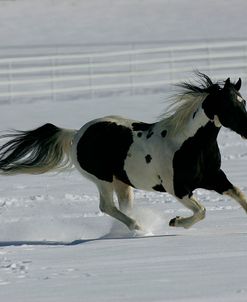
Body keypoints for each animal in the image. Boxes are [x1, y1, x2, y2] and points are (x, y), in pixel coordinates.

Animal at [0, 73, 247, 231]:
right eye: (229, 105)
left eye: (242, 101)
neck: (187, 143)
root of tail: (76, 134)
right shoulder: (177, 189)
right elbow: (202, 211)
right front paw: (175, 222)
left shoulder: (215, 178)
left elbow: (238, 194)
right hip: (103, 180)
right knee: (106, 206)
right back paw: (137, 227)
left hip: (122, 183)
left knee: (122, 206)